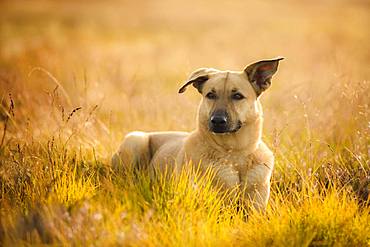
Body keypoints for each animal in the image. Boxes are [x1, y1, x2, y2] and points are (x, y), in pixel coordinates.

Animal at [112, 57, 284, 210]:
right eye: (210, 95)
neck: (234, 154)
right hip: (135, 140)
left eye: (237, 96)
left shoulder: (255, 208)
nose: (217, 121)